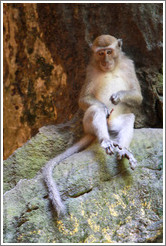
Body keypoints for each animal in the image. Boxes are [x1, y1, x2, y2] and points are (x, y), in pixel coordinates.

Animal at [42, 34, 143, 217]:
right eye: (100, 53)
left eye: (109, 52)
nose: (105, 61)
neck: (110, 69)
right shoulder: (89, 69)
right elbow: (83, 99)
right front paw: (103, 107)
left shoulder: (128, 64)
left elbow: (138, 96)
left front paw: (119, 96)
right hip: (87, 123)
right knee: (96, 110)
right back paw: (105, 139)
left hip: (114, 123)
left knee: (129, 118)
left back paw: (123, 149)